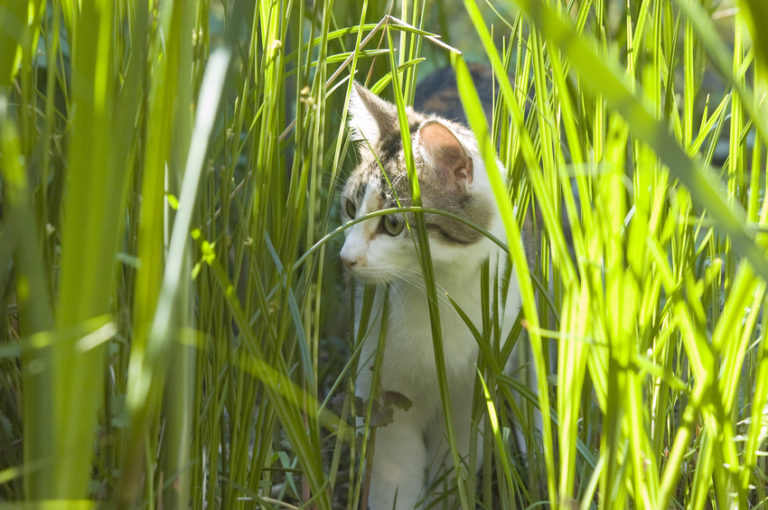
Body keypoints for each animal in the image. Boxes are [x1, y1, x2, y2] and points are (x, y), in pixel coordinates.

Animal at [340, 76, 520, 510]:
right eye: (351, 208)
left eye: (392, 225)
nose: (345, 258)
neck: (436, 293)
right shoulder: (380, 385)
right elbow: (394, 471)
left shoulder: (474, 392)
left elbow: (454, 463)